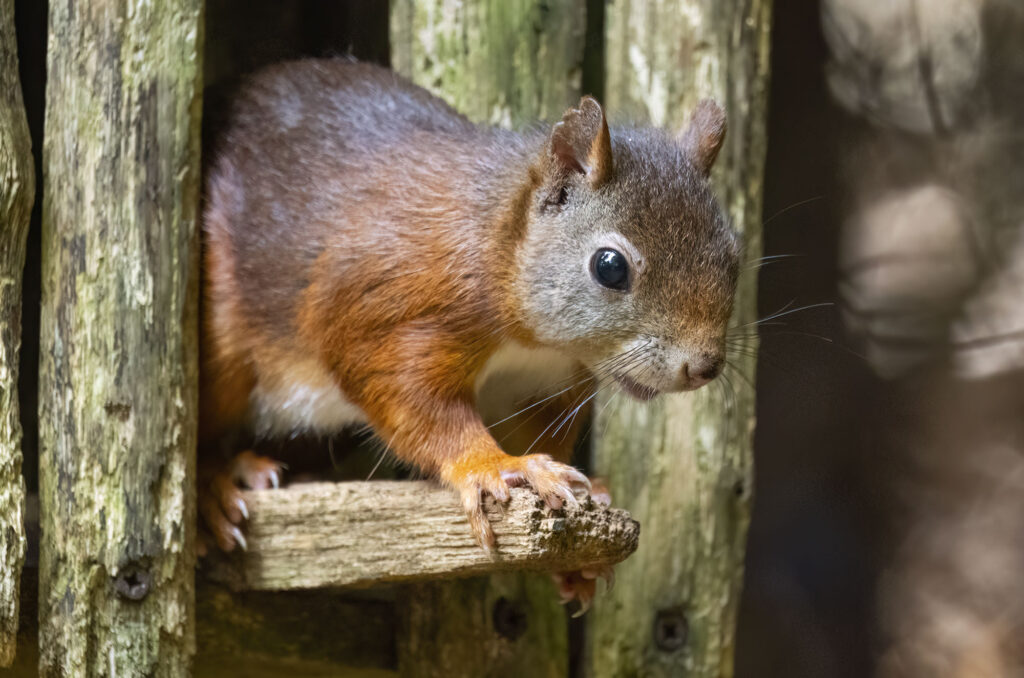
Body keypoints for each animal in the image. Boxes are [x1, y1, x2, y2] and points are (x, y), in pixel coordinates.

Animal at [199, 59, 741, 602]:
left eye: (734, 256)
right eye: (610, 267)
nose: (704, 366)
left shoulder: (544, 383)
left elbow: (536, 430)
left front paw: (582, 539)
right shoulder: (384, 310)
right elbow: (412, 400)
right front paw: (498, 465)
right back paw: (218, 485)